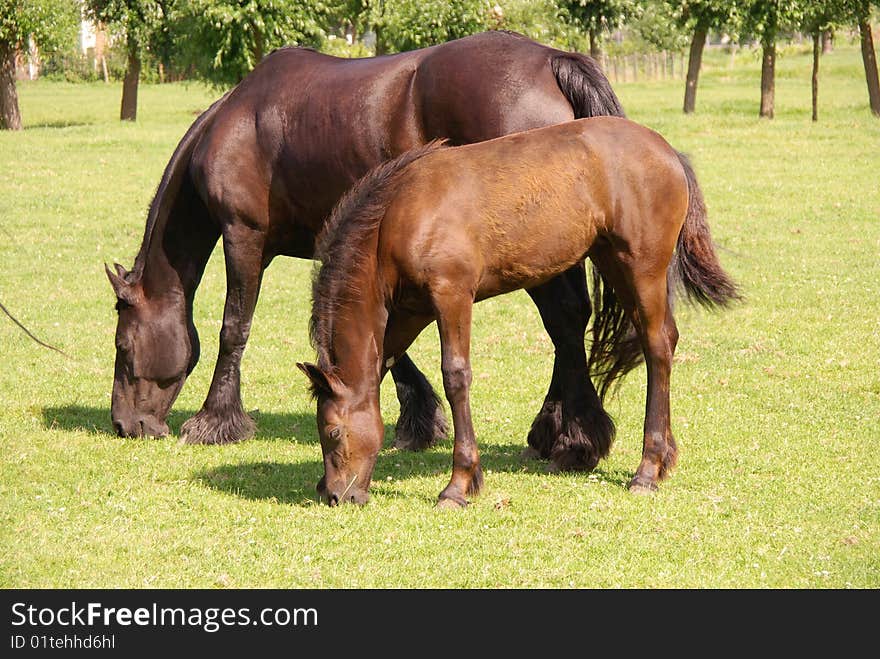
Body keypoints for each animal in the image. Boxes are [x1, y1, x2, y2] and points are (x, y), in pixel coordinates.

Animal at [105, 31, 624, 462]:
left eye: (123, 346)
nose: (126, 425)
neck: (235, 121)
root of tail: (550, 61)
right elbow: (386, 338)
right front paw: (419, 421)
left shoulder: (243, 236)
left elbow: (234, 327)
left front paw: (215, 421)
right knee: (570, 318)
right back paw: (559, 432)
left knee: (563, 319)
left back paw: (573, 439)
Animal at [300, 118, 740, 508]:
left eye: (333, 432)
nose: (336, 495)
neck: (397, 216)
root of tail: (668, 152)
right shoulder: (408, 313)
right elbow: (387, 362)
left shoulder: (452, 295)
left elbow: (455, 376)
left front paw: (458, 485)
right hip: (613, 262)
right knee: (664, 338)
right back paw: (663, 459)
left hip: (642, 267)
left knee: (657, 345)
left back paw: (646, 470)